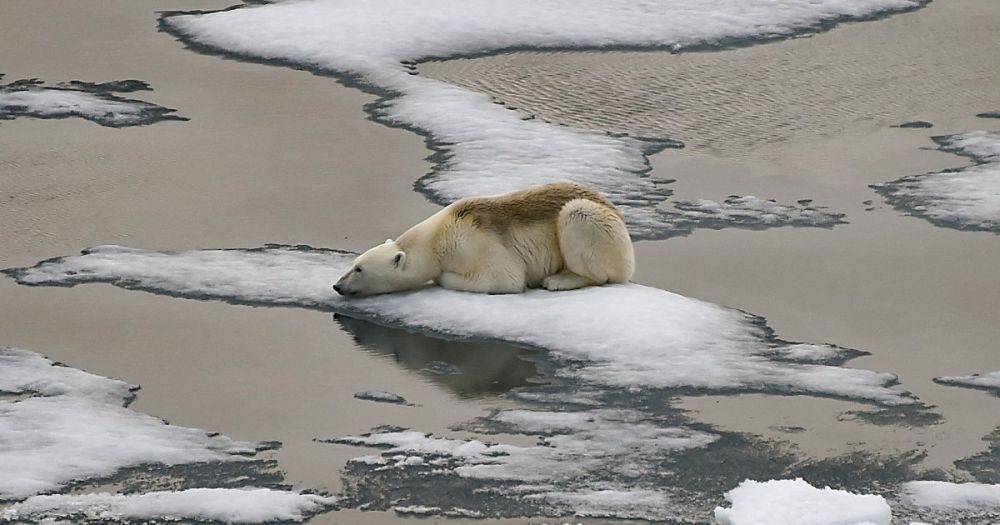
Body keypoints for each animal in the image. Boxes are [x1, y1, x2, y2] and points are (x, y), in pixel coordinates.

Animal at [334, 181, 632, 294]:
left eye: (359, 269)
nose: (337, 286)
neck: (440, 235)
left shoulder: (475, 242)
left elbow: (503, 278)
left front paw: (443, 277)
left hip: (599, 226)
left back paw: (559, 280)